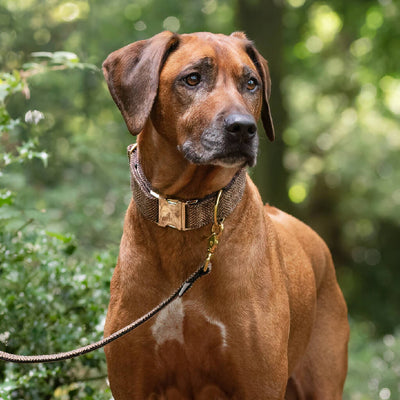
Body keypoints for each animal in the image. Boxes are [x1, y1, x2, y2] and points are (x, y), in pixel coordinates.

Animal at [103, 32, 350, 400]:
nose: (243, 129)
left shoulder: (259, 383)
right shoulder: (131, 380)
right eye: (192, 78)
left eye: (251, 83)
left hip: (323, 378)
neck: (186, 210)